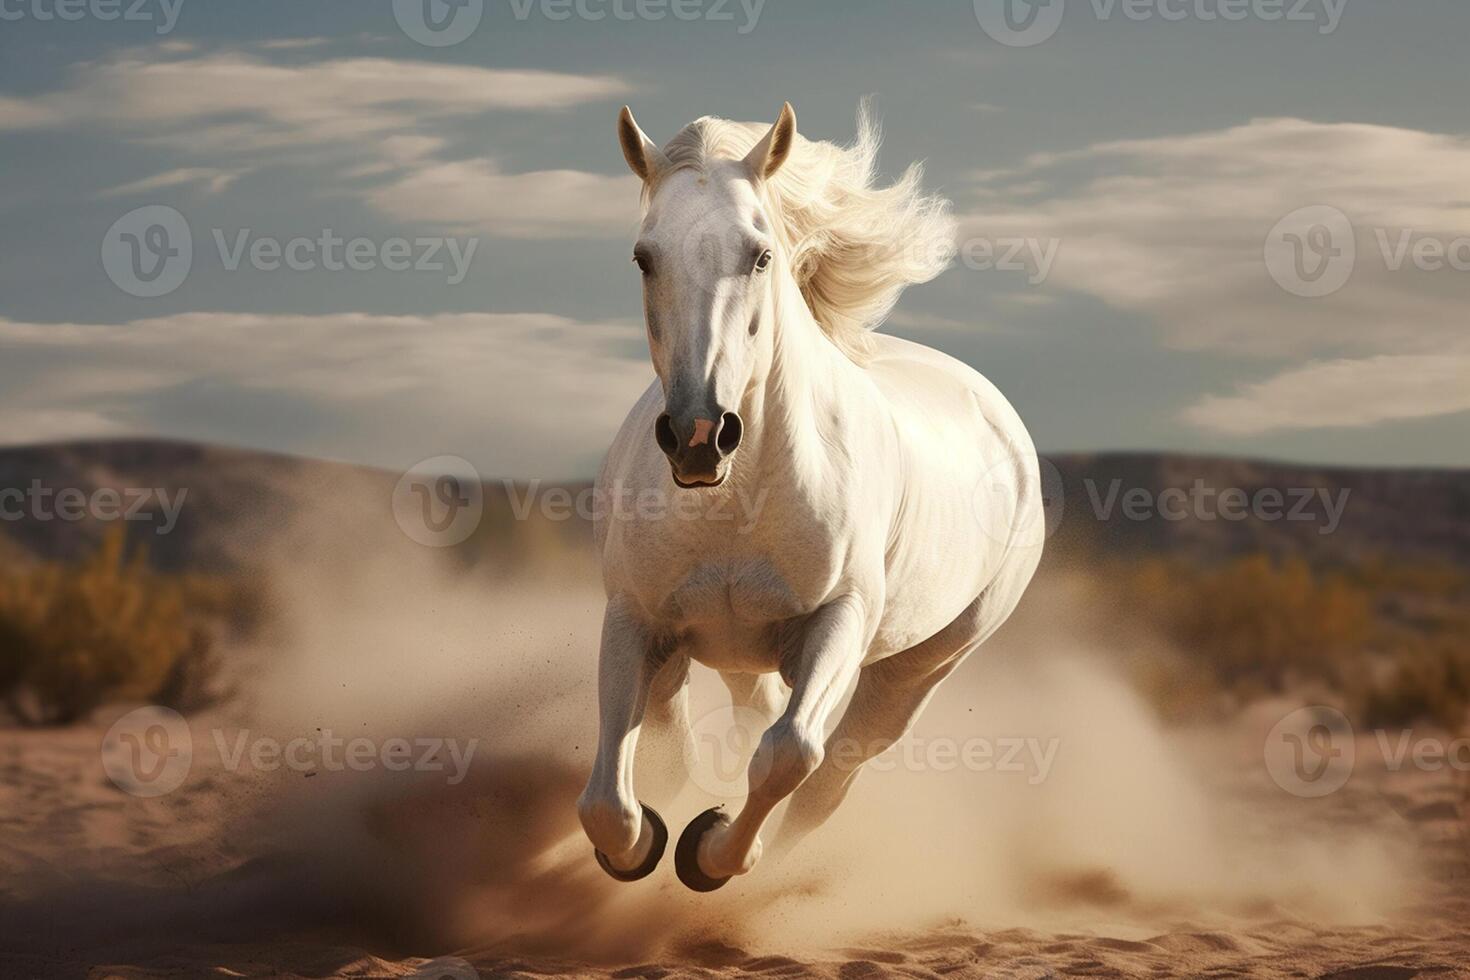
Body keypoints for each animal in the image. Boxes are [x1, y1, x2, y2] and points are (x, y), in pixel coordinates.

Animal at [573, 103, 1046, 893]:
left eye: (760, 255)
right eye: (644, 257)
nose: (699, 436)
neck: (738, 502)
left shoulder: (838, 621)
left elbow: (789, 753)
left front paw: (712, 851)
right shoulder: (637, 621)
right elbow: (613, 796)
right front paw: (644, 845)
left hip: (919, 667)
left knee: (830, 777)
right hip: (727, 652)